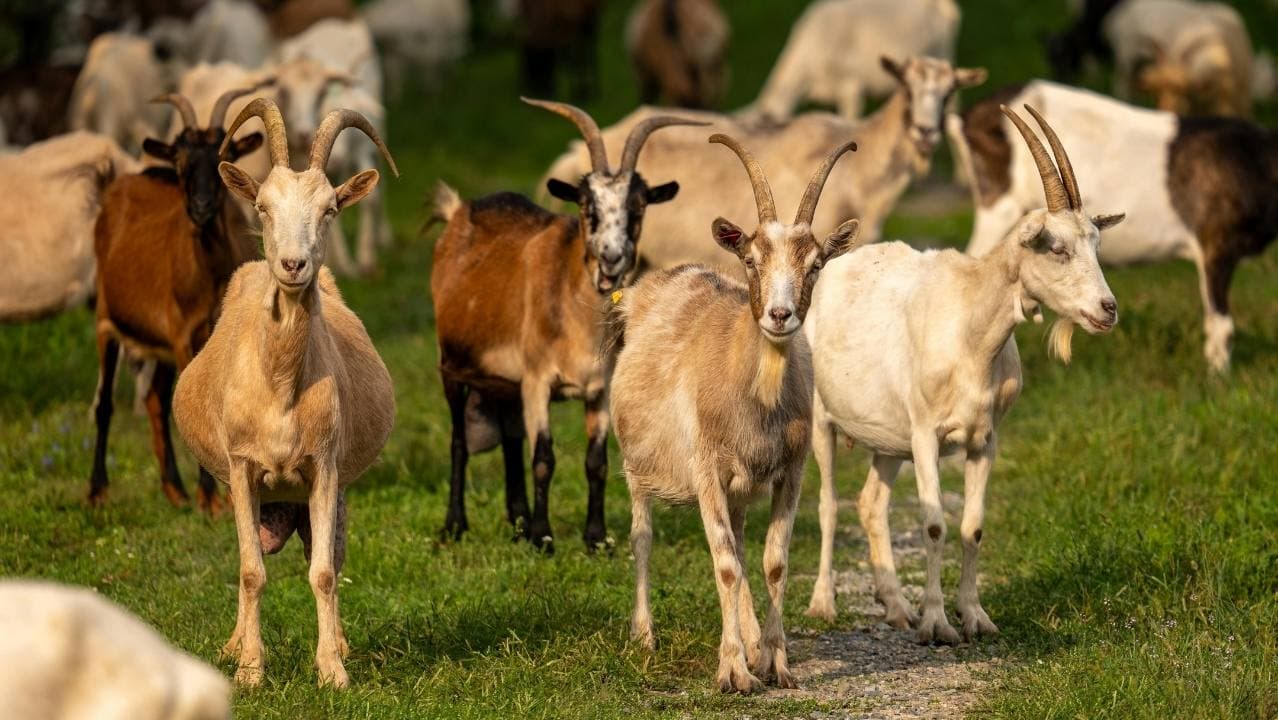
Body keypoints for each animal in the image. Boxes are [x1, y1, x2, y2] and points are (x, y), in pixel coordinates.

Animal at [89, 87, 266, 512]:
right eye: (182, 163)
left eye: (223, 159)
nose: (200, 208)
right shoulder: (183, 335)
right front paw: (212, 499)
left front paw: (224, 495)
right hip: (106, 321)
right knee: (104, 403)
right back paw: (97, 491)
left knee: (154, 397)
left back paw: (174, 489)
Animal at [173, 98, 397, 688]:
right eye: (263, 207)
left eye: (329, 209)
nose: (293, 266)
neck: (279, 389)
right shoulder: (242, 469)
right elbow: (250, 571)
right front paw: (250, 670)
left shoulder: (324, 467)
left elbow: (323, 572)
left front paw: (332, 671)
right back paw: (233, 645)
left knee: (330, 557)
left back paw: (338, 643)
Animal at [431, 99, 705, 552]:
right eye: (587, 207)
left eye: (637, 208)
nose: (612, 258)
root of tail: (458, 212)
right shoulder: (537, 380)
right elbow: (544, 457)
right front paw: (543, 537)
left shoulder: (599, 389)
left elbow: (596, 462)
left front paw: (596, 538)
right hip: (452, 366)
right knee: (458, 443)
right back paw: (456, 525)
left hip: (504, 382)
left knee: (510, 439)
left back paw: (517, 520)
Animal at [610, 134, 859, 692]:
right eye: (750, 259)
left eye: (816, 264)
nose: (779, 315)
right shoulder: (705, 469)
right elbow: (724, 564)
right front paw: (733, 672)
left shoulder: (790, 469)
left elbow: (772, 562)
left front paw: (774, 662)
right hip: (637, 465)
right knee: (643, 535)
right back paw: (644, 635)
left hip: (741, 486)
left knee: (745, 549)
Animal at [806, 105, 1122, 642]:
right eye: (1056, 247)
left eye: (1097, 245)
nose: (1107, 309)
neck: (972, 331)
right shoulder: (926, 436)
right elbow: (934, 524)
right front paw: (936, 624)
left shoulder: (984, 439)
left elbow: (972, 527)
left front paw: (974, 617)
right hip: (821, 419)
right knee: (829, 505)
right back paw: (823, 603)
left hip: (888, 439)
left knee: (871, 503)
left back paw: (896, 607)